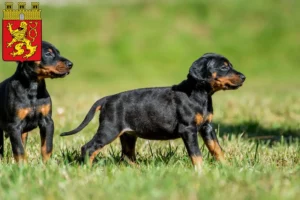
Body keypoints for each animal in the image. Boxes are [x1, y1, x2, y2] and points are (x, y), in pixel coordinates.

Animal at [60, 53, 244, 172]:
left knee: (126, 156)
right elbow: (196, 153)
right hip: (109, 130)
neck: (200, 94)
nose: (244, 77)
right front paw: (201, 172)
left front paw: (227, 168)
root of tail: (106, 99)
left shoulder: (207, 127)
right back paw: (87, 169)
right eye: (224, 66)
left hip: (128, 135)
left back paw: (141, 171)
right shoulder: (188, 129)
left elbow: (217, 149)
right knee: (89, 148)